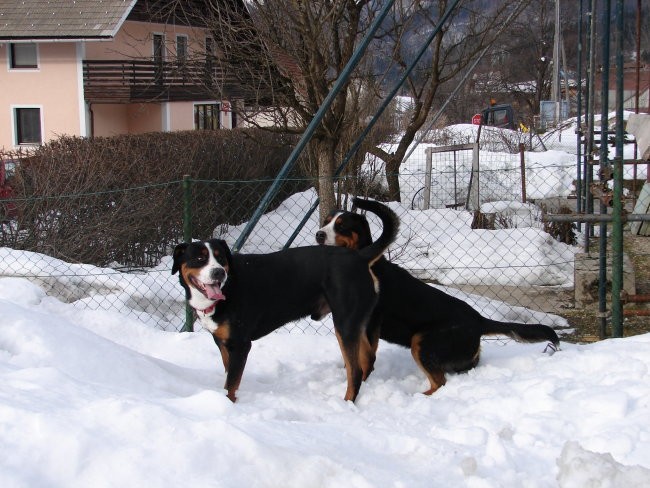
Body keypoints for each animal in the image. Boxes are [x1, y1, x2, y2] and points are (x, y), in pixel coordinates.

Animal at [171, 196, 394, 402]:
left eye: (221, 258)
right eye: (200, 258)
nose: (218, 272)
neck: (228, 287)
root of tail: (360, 257)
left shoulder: (240, 344)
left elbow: (231, 384)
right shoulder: (223, 342)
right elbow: (229, 375)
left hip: (345, 323)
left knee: (355, 370)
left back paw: (347, 403)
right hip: (355, 323)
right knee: (367, 359)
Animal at [314, 200, 556, 394]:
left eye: (341, 225)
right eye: (326, 222)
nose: (319, 234)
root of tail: (478, 320)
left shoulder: (369, 324)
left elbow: (364, 362)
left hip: (422, 342)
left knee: (439, 382)